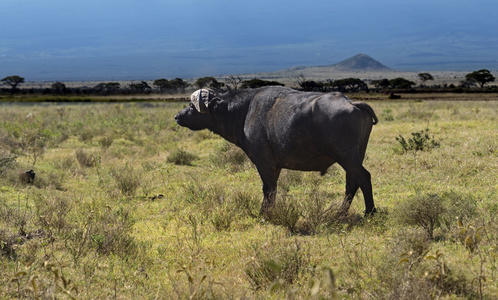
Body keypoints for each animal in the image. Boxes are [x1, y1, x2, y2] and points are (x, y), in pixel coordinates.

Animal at [175, 86, 378, 216]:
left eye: (192, 106)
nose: (177, 116)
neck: (244, 111)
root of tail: (352, 103)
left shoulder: (264, 162)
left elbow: (268, 189)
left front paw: (264, 214)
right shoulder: (276, 166)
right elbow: (272, 189)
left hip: (346, 156)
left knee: (363, 177)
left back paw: (370, 212)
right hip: (355, 156)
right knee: (352, 182)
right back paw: (340, 212)